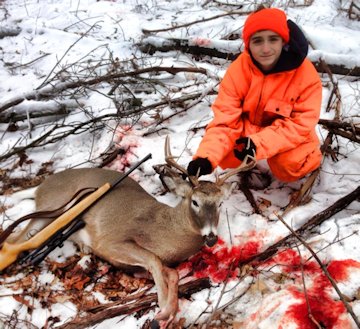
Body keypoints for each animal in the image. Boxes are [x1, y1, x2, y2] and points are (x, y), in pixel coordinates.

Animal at [6, 136, 256, 326]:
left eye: (221, 203)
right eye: (195, 201)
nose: (211, 237)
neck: (164, 229)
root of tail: (41, 186)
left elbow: (170, 271)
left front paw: (168, 309)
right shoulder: (110, 241)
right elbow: (154, 260)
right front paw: (163, 310)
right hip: (52, 208)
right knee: (17, 238)